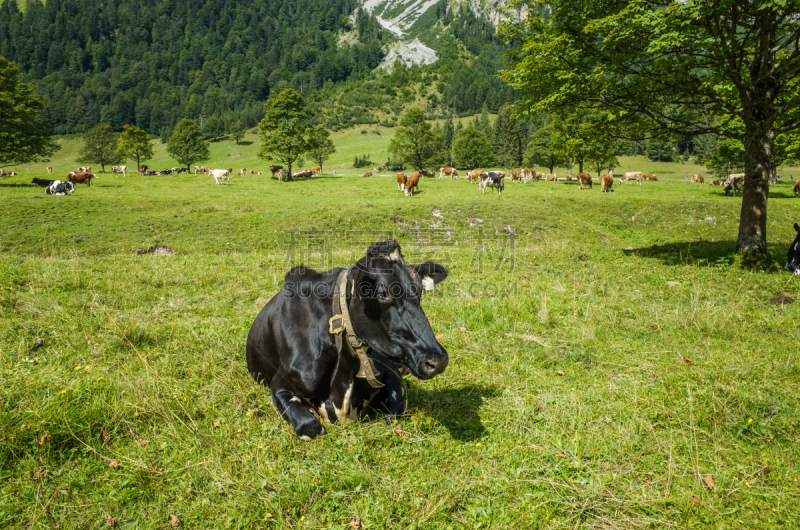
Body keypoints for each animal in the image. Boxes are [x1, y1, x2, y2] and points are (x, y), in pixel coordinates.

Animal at [248, 238, 450, 438]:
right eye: (383, 294)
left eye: (419, 290)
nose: (438, 361)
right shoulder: (280, 384)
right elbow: (310, 426)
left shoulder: (389, 370)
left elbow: (396, 410)